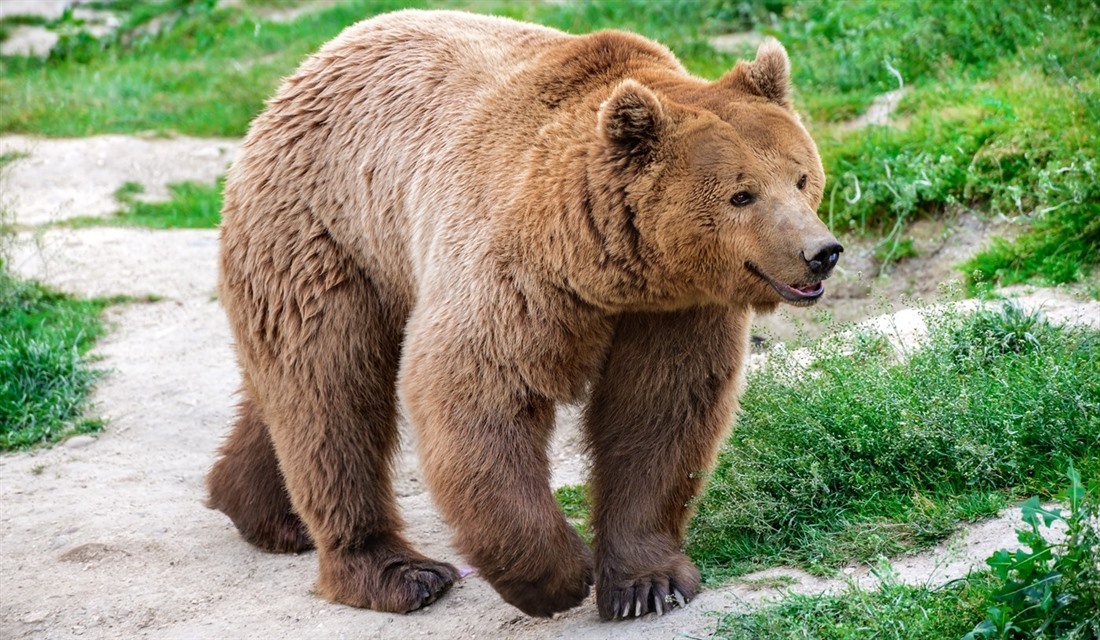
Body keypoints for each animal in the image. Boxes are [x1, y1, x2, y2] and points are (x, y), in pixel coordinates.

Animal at [206, 8, 840, 620]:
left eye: (801, 176)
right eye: (742, 194)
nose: (821, 252)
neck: (611, 266)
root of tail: (302, 73)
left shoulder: (675, 308)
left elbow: (659, 410)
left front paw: (646, 585)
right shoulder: (516, 270)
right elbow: (477, 390)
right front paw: (558, 577)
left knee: (290, 388)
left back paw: (262, 511)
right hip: (330, 235)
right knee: (332, 392)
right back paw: (399, 573)